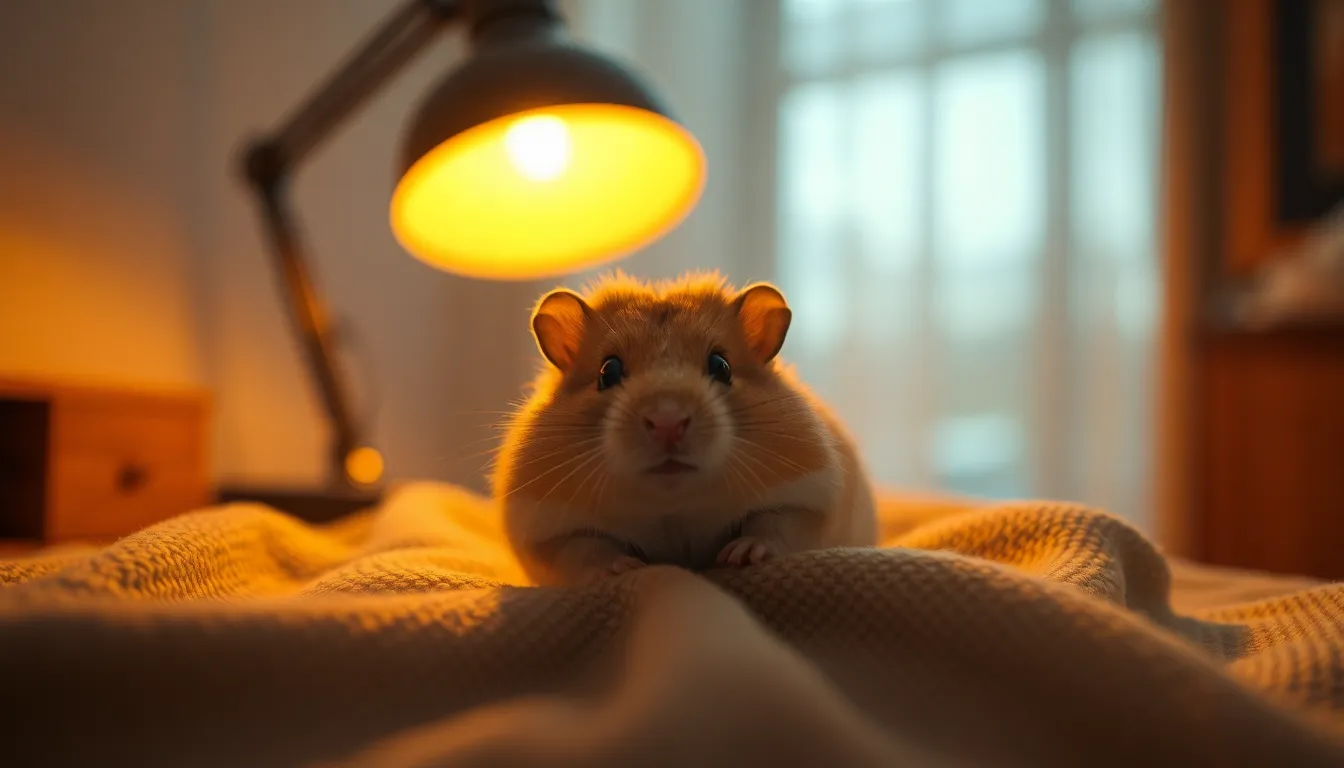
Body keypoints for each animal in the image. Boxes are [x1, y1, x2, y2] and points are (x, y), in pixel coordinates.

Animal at [492, 271, 877, 587]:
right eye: (607, 372)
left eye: (721, 366)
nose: (668, 423)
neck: (673, 506)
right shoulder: (546, 528)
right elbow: (584, 549)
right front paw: (624, 568)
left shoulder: (809, 497)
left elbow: (774, 526)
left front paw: (740, 554)